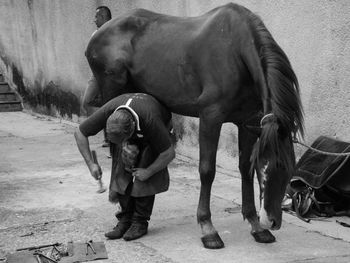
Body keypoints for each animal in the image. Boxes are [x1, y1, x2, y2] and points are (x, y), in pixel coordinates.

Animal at [85, 3, 304, 251]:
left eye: (288, 167)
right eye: (269, 167)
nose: (272, 221)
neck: (235, 50)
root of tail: (100, 32)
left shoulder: (248, 123)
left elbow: (244, 168)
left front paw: (256, 226)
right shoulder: (210, 117)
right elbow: (207, 170)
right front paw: (208, 228)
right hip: (113, 96)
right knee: (115, 150)